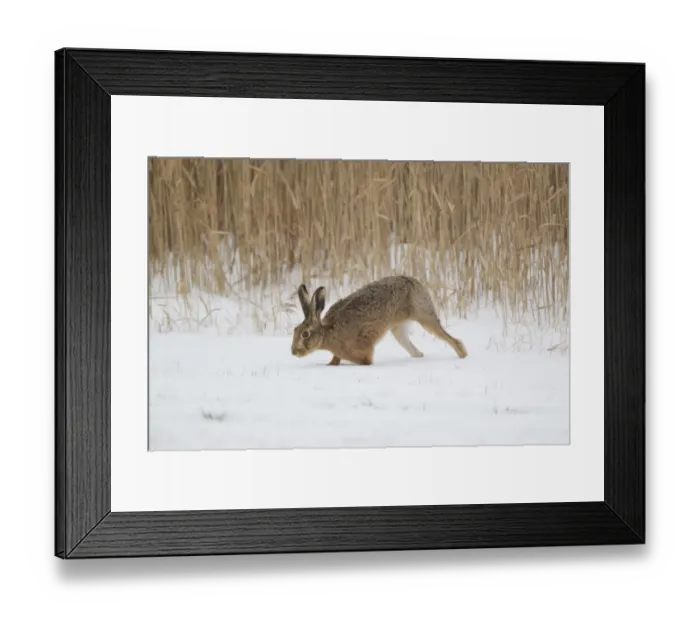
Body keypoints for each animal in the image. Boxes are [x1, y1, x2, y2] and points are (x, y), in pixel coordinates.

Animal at [291, 275, 468, 366]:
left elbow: (366, 359)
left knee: (448, 337)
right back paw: (419, 355)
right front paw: (330, 365)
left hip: (424, 315)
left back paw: (462, 355)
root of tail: (414, 281)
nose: (293, 352)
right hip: (397, 327)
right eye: (295, 330)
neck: (328, 332)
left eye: (305, 334)